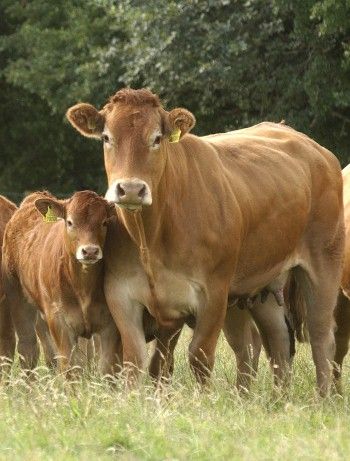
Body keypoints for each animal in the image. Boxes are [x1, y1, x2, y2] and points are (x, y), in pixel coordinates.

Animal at [1, 190, 121, 374]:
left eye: (104, 222)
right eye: (70, 222)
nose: (90, 251)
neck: (83, 287)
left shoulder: (110, 325)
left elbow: (105, 367)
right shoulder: (59, 322)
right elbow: (70, 367)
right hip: (18, 300)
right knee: (26, 348)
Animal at [66, 88, 344, 394]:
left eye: (157, 138)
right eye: (106, 138)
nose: (130, 189)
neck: (151, 238)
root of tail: (316, 150)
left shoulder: (213, 293)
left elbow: (199, 356)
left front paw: (203, 399)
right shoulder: (122, 294)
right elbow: (135, 359)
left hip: (324, 263)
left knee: (321, 337)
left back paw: (323, 396)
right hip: (262, 284)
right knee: (274, 342)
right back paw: (275, 398)